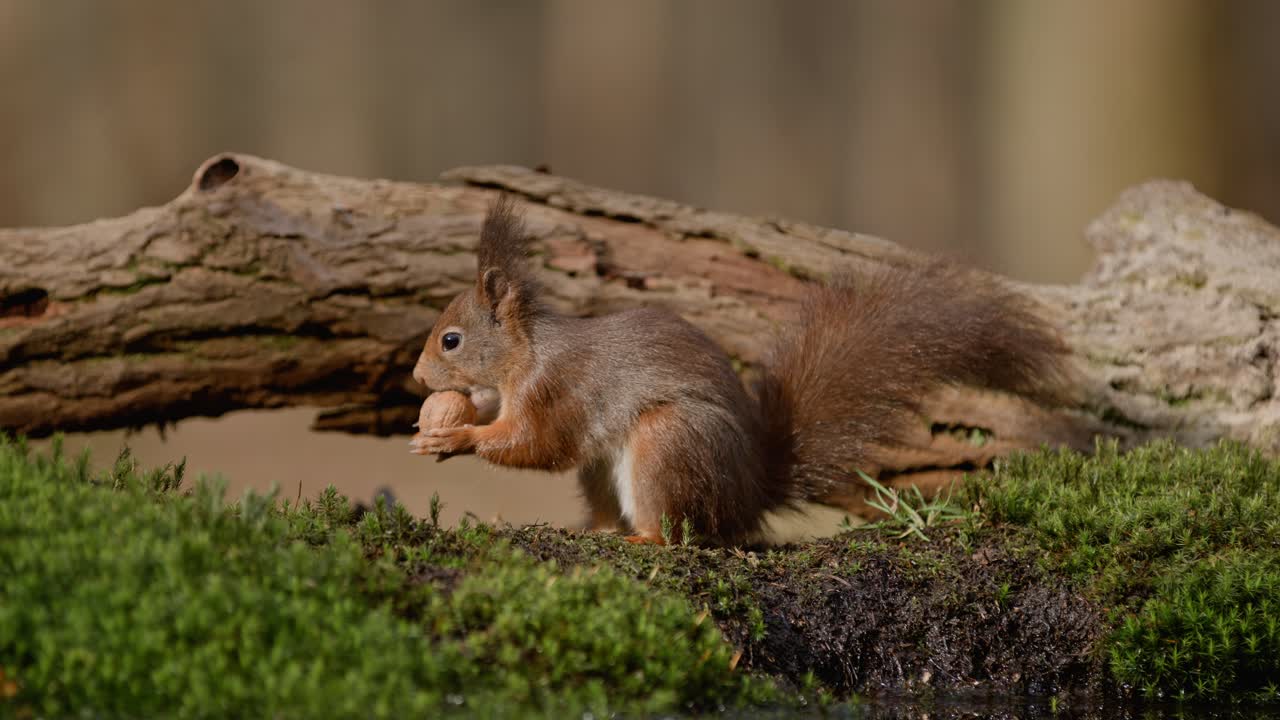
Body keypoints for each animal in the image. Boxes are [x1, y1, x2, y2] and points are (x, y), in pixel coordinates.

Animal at [411, 196, 1069, 545]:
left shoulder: (555, 390)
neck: (526, 354)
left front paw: (455, 435)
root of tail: (749, 493)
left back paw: (642, 536)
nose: (418, 380)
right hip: (606, 470)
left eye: (451, 340)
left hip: (668, 442)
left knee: (678, 531)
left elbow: (536, 444)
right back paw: (596, 530)